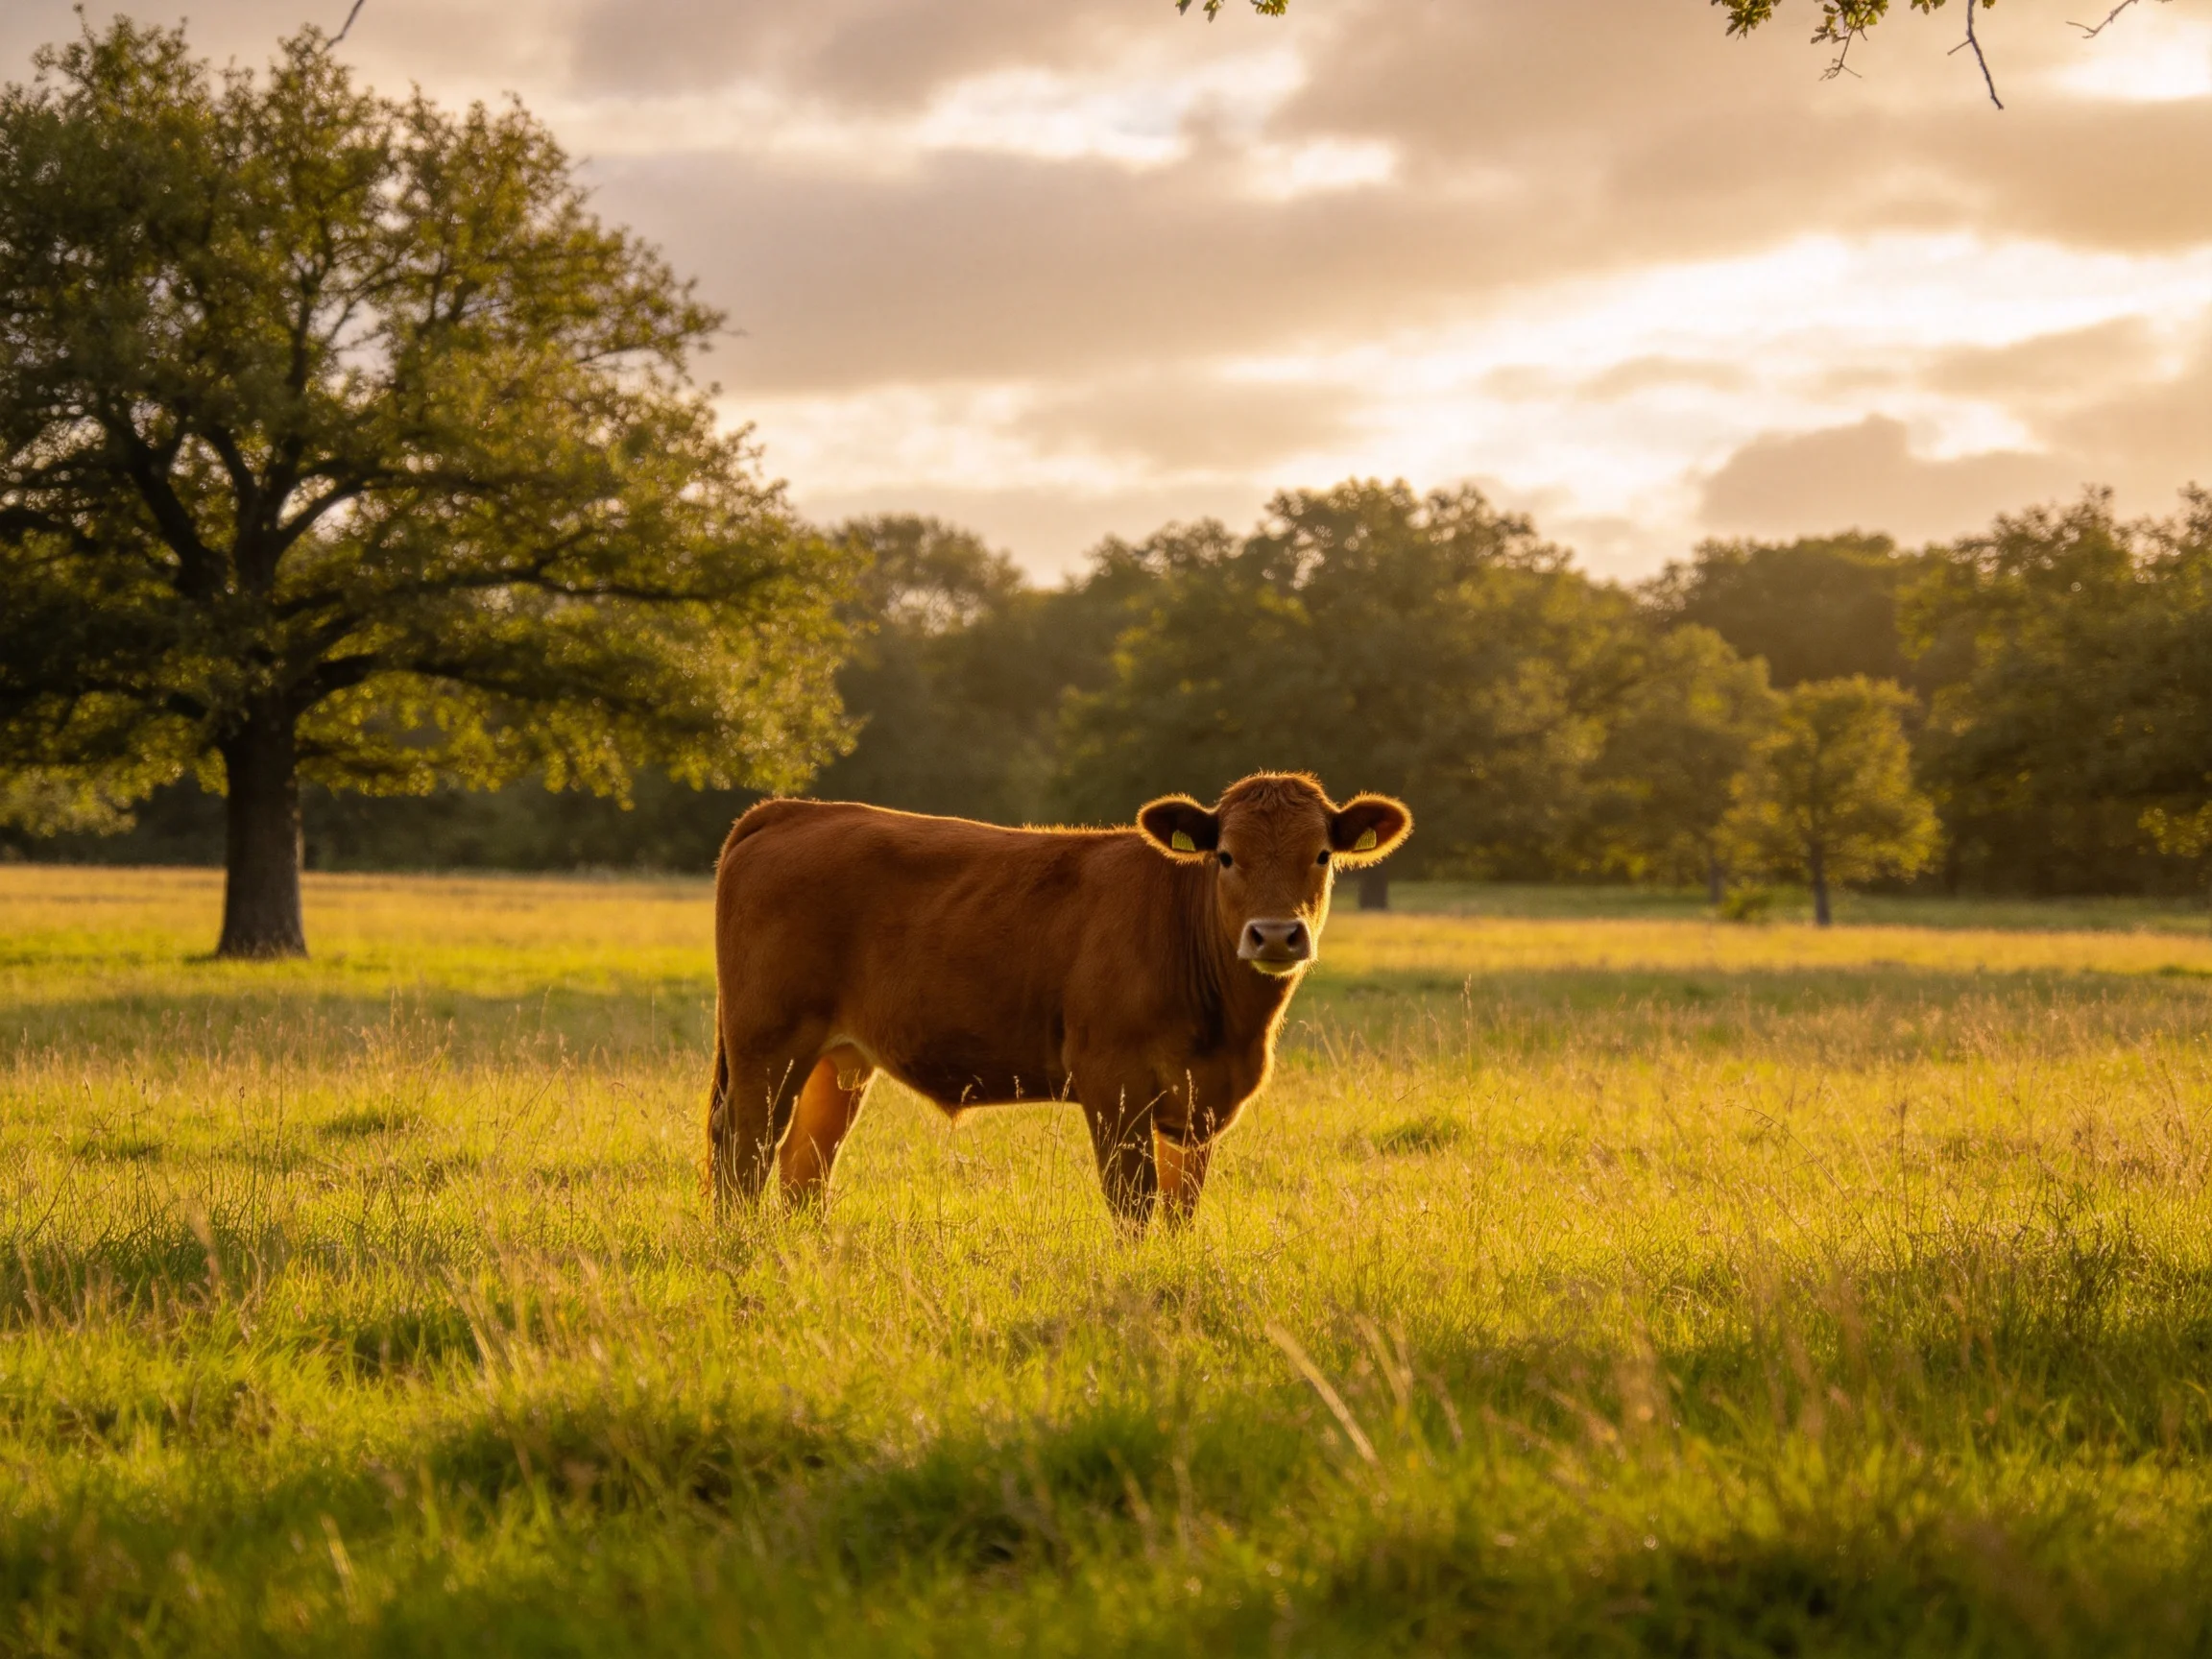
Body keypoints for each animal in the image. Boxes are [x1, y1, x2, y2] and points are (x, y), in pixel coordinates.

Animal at [705, 773, 1411, 1229]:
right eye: (1227, 856)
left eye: (1321, 855)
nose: (1275, 935)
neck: (1231, 1032)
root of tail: (796, 810)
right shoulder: (1112, 1081)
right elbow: (1135, 1207)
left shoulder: (1196, 1102)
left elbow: (1182, 1209)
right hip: (766, 1045)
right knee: (743, 1154)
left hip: (838, 1060)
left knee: (803, 1166)